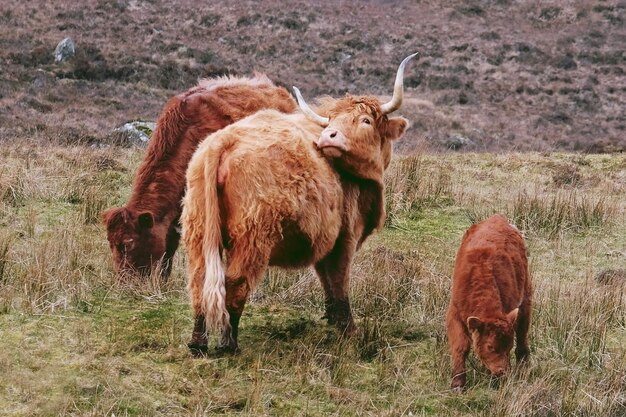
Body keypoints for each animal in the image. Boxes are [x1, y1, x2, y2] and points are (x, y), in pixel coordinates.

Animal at [178, 52, 416, 354]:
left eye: (365, 120)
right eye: (333, 120)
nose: (328, 137)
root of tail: (224, 141)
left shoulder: (324, 241)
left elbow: (327, 281)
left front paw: (332, 320)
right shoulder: (345, 236)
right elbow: (339, 281)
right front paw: (348, 330)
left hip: (197, 229)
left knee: (199, 283)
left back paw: (198, 343)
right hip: (252, 237)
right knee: (234, 284)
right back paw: (229, 345)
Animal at [444, 214, 532, 390]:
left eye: (508, 345)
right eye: (490, 346)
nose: (502, 371)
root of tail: (498, 217)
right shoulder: (454, 313)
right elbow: (460, 345)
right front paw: (458, 383)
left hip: (526, 294)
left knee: (522, 330)